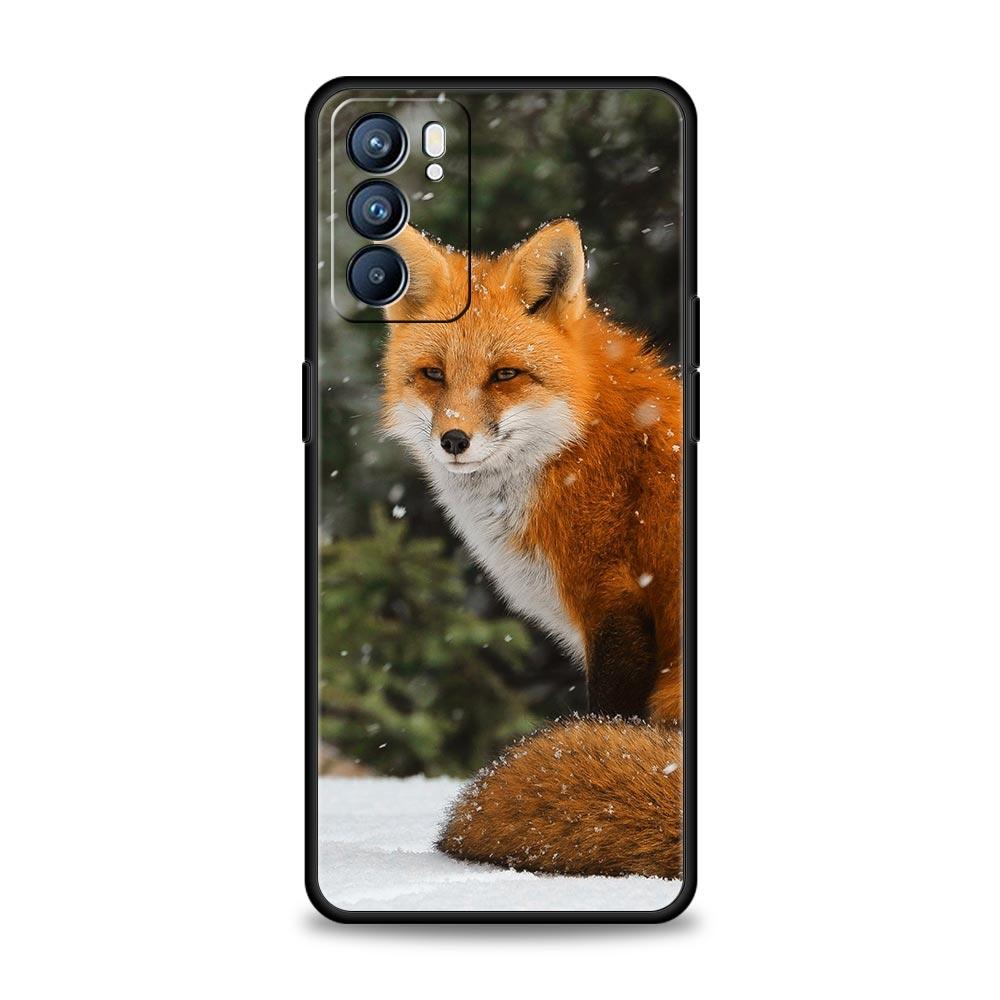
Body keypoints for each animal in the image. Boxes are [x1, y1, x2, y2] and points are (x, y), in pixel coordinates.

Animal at [380, 220, 684, 878]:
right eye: (434, 374)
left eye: (504, 375)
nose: (454, 440)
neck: (577, 444)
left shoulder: (614, 605)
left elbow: (608, 719)